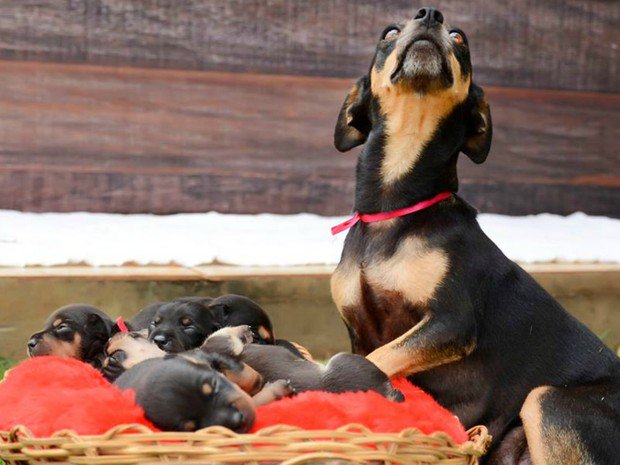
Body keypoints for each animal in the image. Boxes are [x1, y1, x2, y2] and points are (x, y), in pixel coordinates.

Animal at [330, 7, 620, 464]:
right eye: (389, 32)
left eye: (460, 38)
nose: (430, 13)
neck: (395, 207)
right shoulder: (359, 328)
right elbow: (371, 355)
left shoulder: (450, 321)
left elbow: (379, 358)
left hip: (548, 402)